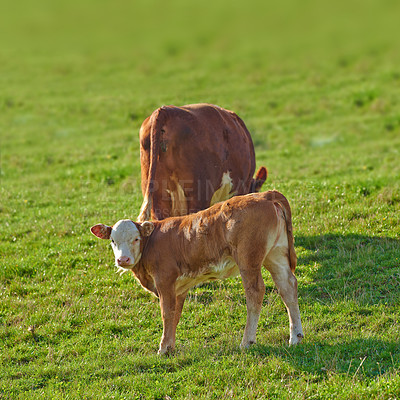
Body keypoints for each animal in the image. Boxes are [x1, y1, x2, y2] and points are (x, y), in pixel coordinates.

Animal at [90, 190, 304, 354]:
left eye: (136, 238)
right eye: (113, 241)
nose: (123, 260)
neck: (152, 242)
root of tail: (264, 195)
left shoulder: (164, 281)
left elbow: (166, 313)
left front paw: (162, 349)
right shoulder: (179, 288)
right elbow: (175, 315)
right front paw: (170, 347)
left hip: (248, 260)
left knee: (255, 292)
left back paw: (247, 342)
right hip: (276, 255)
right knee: (288, 288)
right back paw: (295, 337)